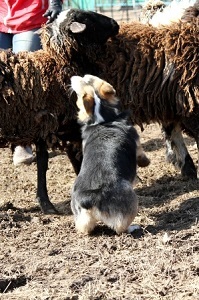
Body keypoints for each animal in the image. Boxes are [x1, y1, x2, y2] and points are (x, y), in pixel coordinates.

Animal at [70, 75, 149, 234]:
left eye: (86, 78)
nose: (73, 77)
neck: (103, 120)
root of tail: (90, 198)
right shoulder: (137, 142)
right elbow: (140, 154)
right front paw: (145, 162)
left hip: (79, 214)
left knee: (84, 228)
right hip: (130, 199)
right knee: (120, 227)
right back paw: (133, 227)